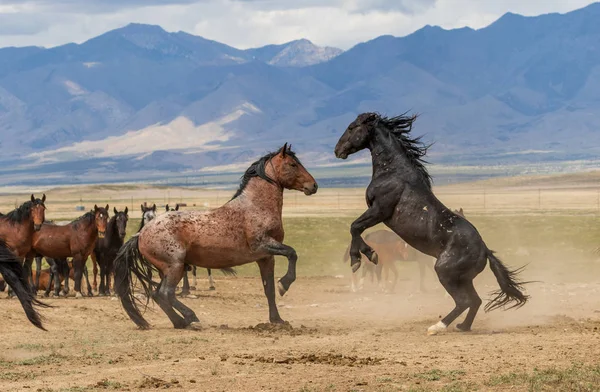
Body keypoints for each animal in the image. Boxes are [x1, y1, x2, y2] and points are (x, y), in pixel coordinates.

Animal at [113, 143, 318, 328]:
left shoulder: (266, 257)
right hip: (174, 266)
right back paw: (191, 318)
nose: (313, 186)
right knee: (165, 293)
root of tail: (140, 234)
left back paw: (181, 322)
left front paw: (277, 320)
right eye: (293, 164)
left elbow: (269, 290)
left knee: (158, 295)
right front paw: (285, 284)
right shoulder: (263, 246)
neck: (256, 206)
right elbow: (292, 253)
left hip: (170, 269)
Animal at [332, 112, 528, 334]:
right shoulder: (377, 213)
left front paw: (362, 257)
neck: (393, 172)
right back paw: (463, 327)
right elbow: (356, 228)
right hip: (463, 278)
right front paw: (365, 257)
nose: (337, 150)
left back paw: (437, 327)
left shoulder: (379, 211)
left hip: (445, 273)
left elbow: (355, 227)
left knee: (464, 301)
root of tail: (485, 251)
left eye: (351, 127)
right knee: (475, 301)